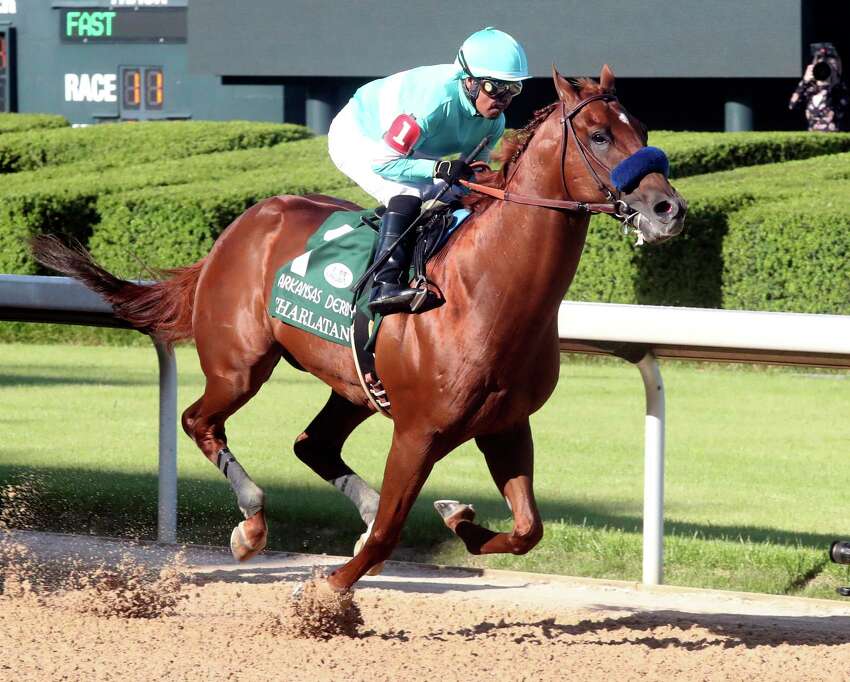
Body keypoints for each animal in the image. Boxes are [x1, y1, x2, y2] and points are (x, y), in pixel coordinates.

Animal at [33, 69, 684, 588]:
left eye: (643, 130)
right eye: (599, 134)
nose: (668, 209)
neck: (485, 290)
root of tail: (241, 225)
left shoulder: (505, 424)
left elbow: (528, 529)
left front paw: (459, 518)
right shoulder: (419, 430)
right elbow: (393, 531)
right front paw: (328, 591)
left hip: (354, 383)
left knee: (311, 443)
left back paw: (348, 509)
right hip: (239, 364)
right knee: (200, 420)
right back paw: (252, 522)